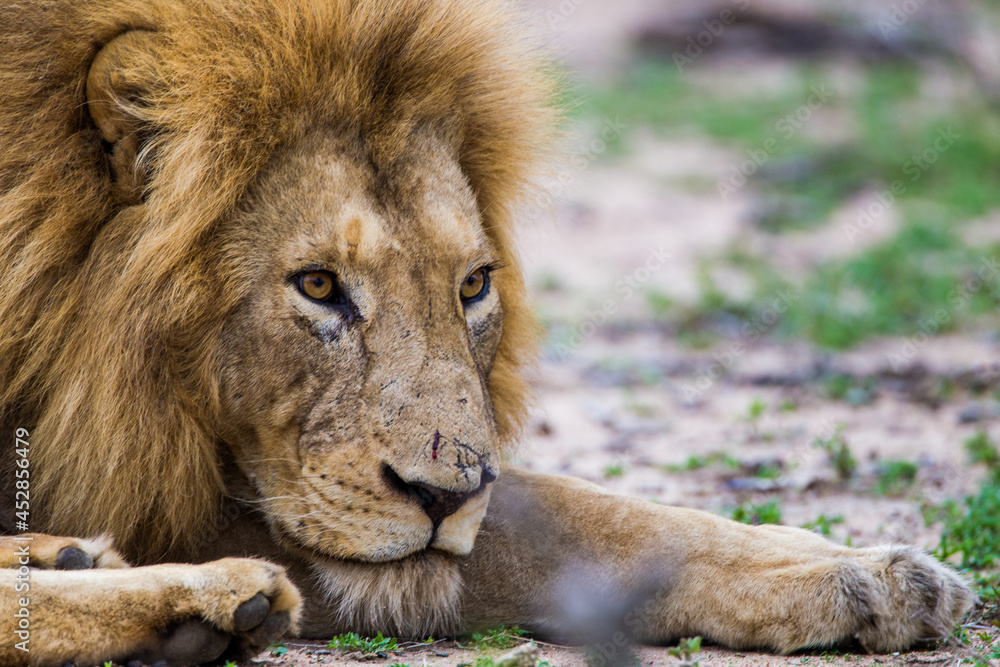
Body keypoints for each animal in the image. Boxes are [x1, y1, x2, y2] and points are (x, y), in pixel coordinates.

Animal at [0, 0, 972, 665]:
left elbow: (593, 515)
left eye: (471, 285)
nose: (445, 497)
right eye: (317, 285)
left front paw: (862, 570)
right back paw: (197, 603)